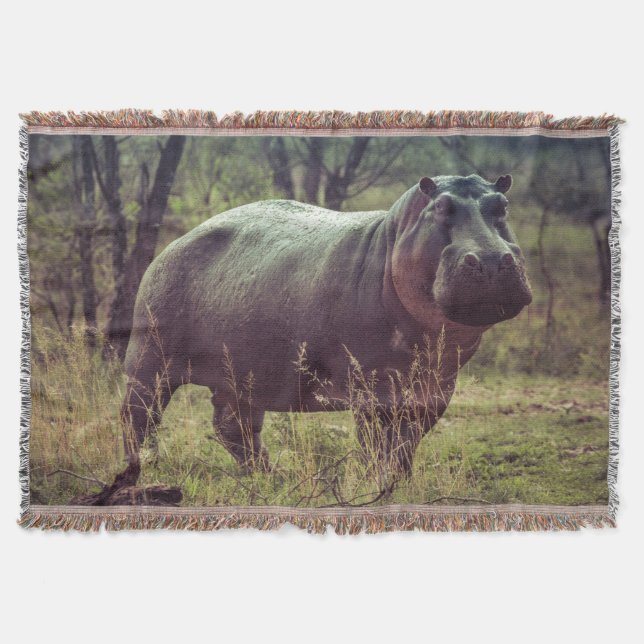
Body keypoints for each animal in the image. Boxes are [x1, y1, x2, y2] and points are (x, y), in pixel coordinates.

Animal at [119, 173, 532, 487]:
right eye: (442, 208)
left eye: (502, 205)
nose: (491, 260)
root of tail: (176, 242)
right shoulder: (372, 384)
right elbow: (376, 441)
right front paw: (376, 484)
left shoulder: (437, 384)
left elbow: (408, 441)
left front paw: (402, 482)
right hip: (150, 357)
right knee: (138, 414)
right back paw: (140, 468)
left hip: (242, 374)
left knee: (233, 427)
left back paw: (272, 477)